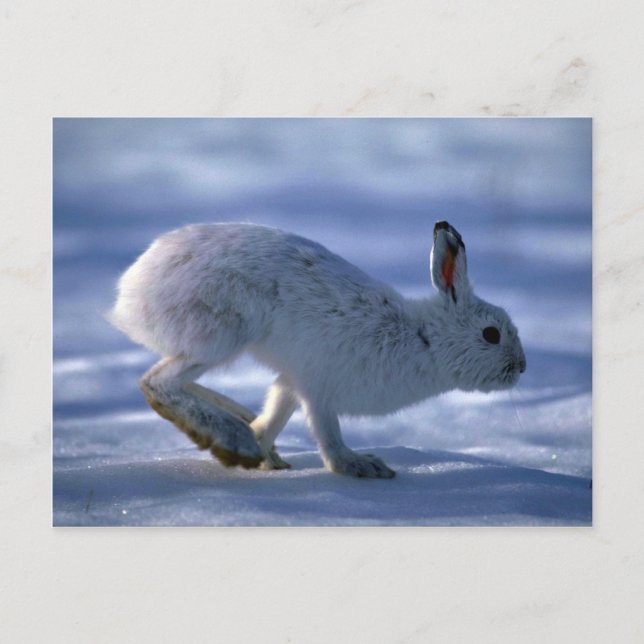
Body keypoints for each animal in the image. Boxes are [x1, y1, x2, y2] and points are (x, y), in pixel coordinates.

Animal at [109, 220, 526, 479]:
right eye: (491, 334)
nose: (521, 366)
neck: (423, 339)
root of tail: (133, 287)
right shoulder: (319, 389)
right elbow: (328, 436)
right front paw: (360, 466)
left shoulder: (292, 382)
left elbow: (275, 415)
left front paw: (266, 455)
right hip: (223, 332)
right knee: (157, 382)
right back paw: (230, 439)